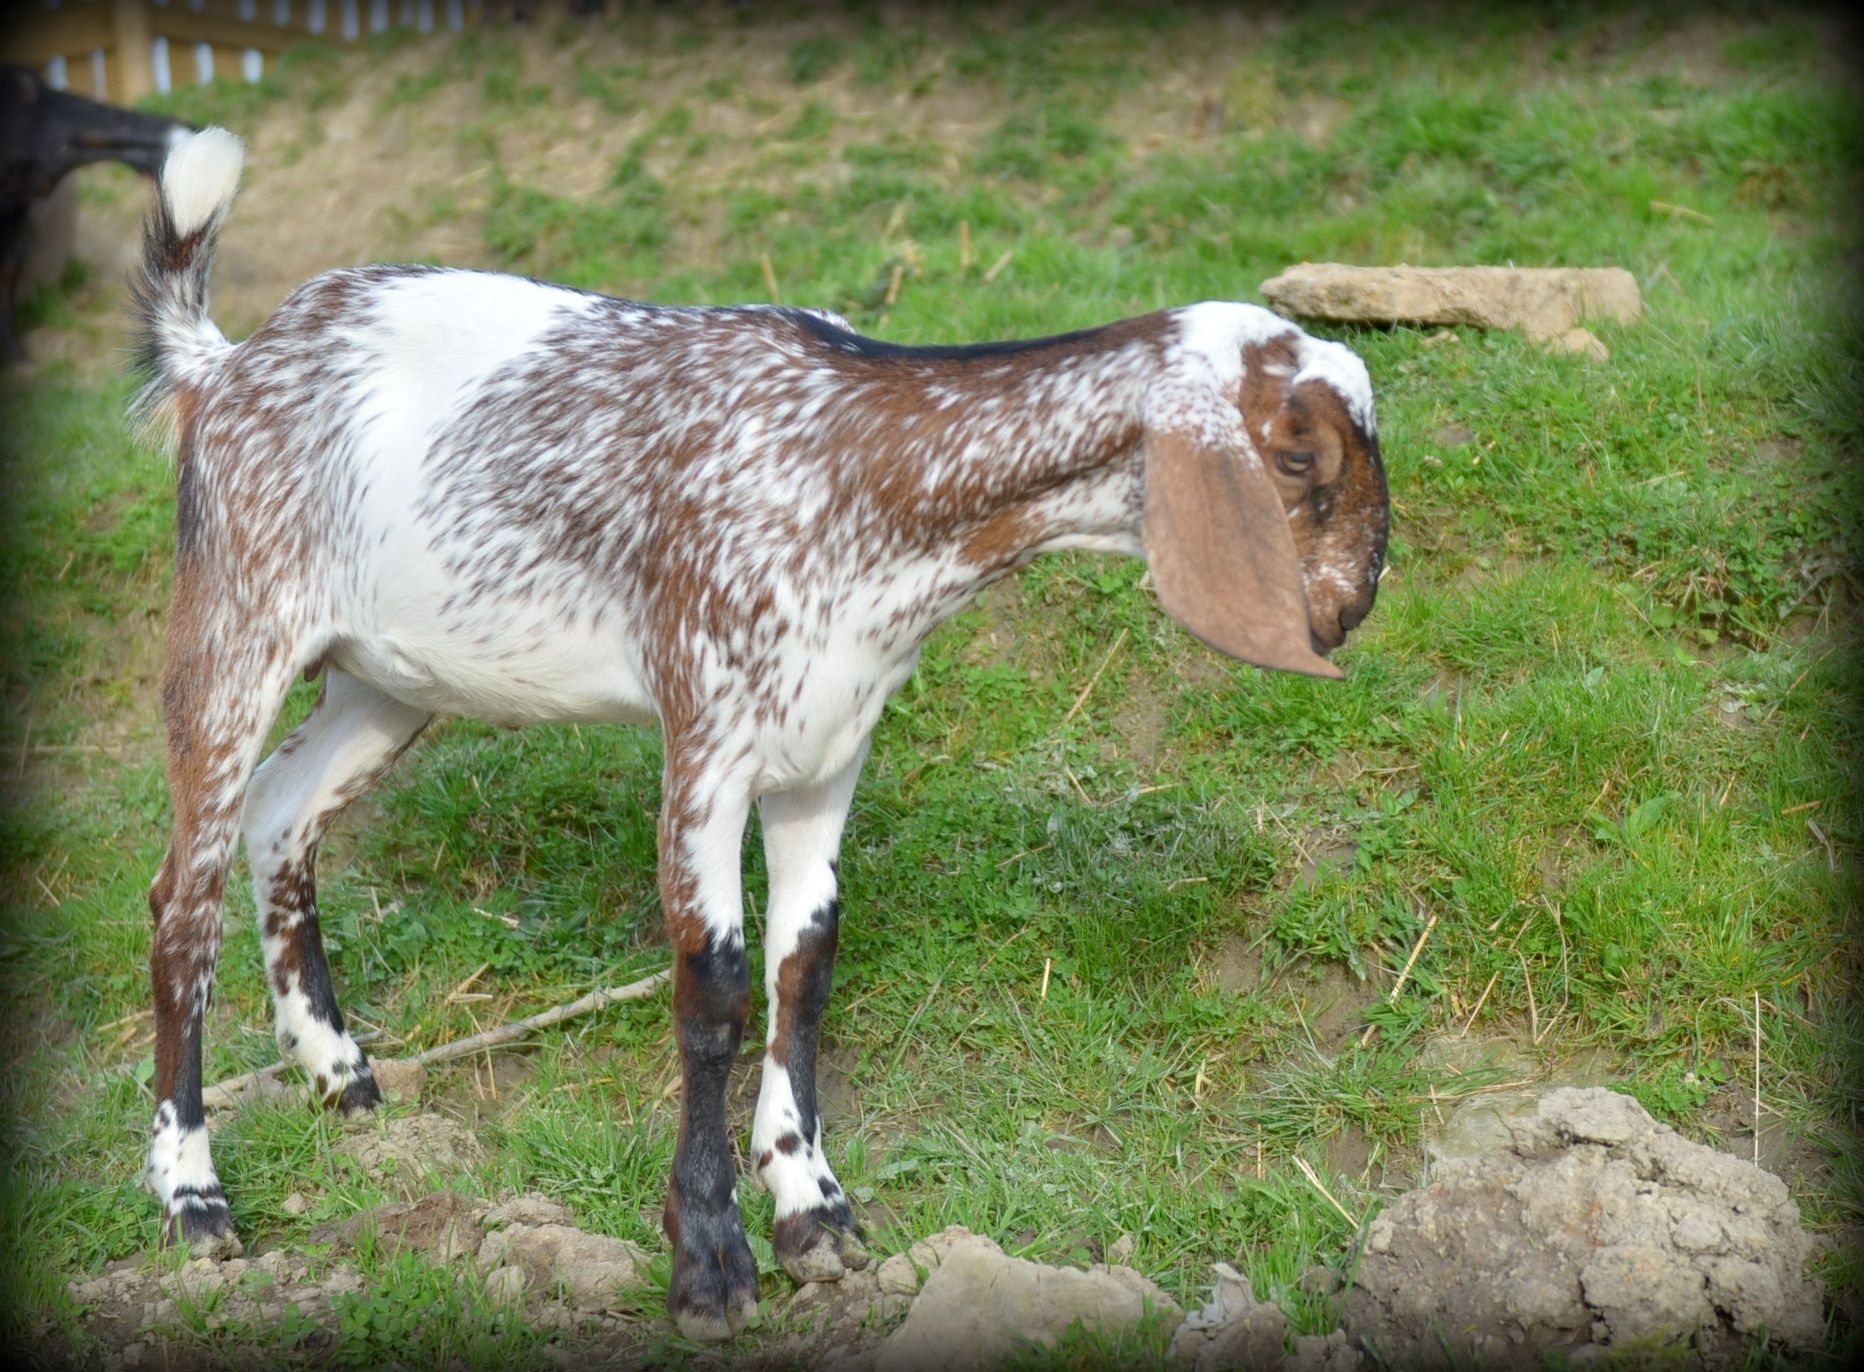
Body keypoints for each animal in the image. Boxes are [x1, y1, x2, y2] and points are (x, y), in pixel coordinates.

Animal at [131, 131, 1386, 1342]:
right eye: (1295, 457)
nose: (1349, 606)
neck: (859, 469)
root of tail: (227, 365)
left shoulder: (825, 753)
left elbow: (804, 964)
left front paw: (809, 1206)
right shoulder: (708, 742)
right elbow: (716, 987)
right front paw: (708, 1262)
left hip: (388, 680)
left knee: (281, 813)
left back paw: (335, 1069)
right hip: (233, 627)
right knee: (182, 892)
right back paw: (193, 1194)